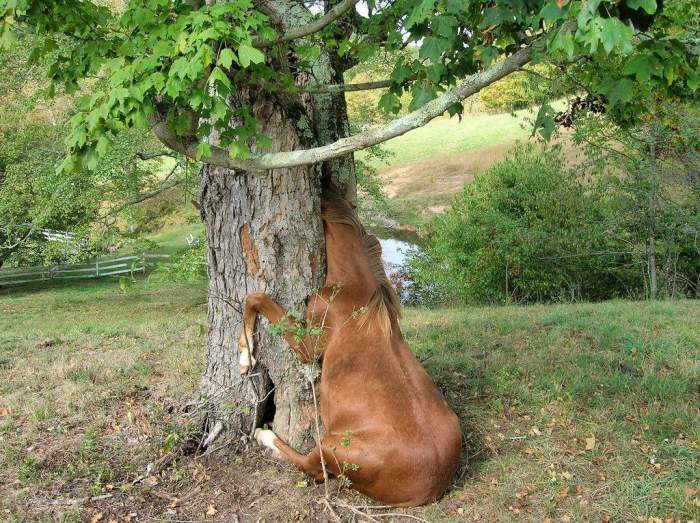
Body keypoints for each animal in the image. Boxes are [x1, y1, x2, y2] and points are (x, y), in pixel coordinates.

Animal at [238, 187, 462, 508]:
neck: (355, 288)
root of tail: (432, 486)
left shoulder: (308, 347)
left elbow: (255, 297)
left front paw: (245, 356)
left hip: (330, 447)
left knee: (312, 469)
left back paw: (263, 435)